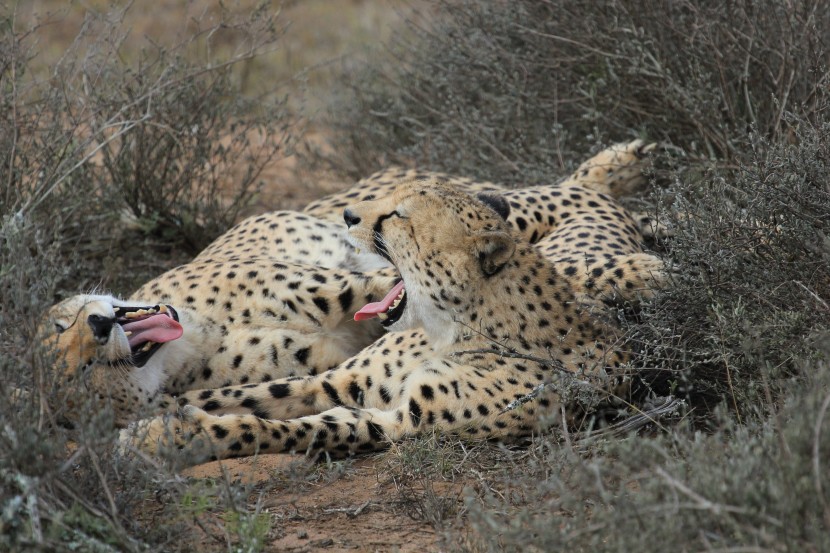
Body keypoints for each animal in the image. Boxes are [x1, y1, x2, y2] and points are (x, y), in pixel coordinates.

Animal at [123, 178, 668, 462]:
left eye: (397, 216)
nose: (347, 215)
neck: (452, 330)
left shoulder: (397, 423)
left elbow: (281, 428)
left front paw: (164, 437)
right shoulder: (337, 380)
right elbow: (234, 396)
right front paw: (142, 420)